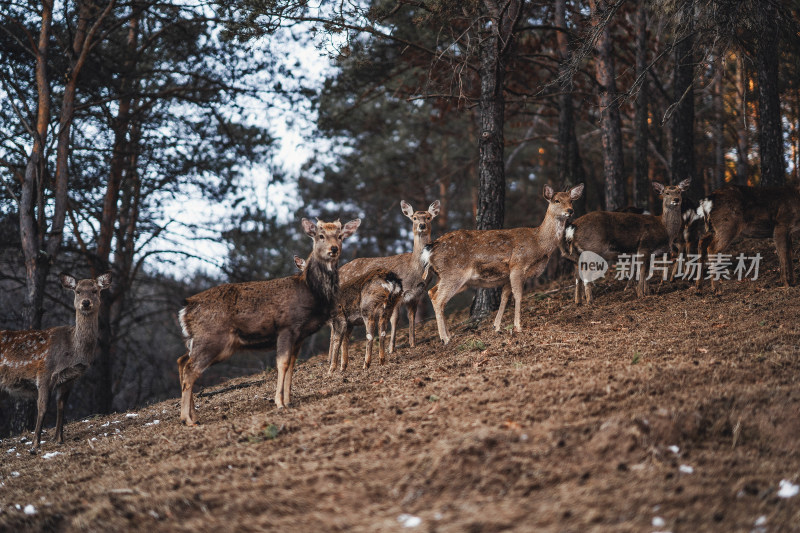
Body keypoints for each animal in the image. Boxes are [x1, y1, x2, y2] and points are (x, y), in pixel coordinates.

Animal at [0, 272, 112, 450]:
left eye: (95, 290)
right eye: (78, 291)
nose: (86, 302)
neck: (72, 351)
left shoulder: (69, 379)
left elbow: (61, 406)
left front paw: (59, 439)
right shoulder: (45, 372)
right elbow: (43, 406)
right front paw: (35, 443)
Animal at [178, 217, 362, 424]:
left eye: (340, 236)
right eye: (320, 235)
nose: (333, 249)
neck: (310, 290)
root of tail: (186, 309)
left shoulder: (300, 335)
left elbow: (292, 365)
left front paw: (289, 400)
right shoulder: (287, 327)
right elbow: (282, 363)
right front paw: (279, 402)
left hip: (204, 342)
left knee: (183, 362)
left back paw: (193, 416)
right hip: (212, 339)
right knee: (190, 369)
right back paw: (187, 419)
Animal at [336, 197, 440, 352]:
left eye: (428, 217)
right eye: (414, 218)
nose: (421, 225)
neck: (414, 270)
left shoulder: (417, 294)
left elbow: (412, 317)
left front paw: (413, 343)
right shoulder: (397, 294)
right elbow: (395, 319)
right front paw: (391, 348)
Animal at [422, 184, 584, 344]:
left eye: (571, 200)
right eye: (556, 200)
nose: (570, 210)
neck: (539, 244)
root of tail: (430, 249)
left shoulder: (507, 275)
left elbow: (505, 297)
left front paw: (497, 326)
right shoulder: (518, 265)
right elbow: (518, 295)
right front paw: (518, 326)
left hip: (449, 277)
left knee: (432, 292)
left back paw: (449, 335)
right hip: (454, 274)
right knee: (438, 299)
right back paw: (444, 338)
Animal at [564, 179, 692, 304]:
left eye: (679, 191)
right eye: (667, 193)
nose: (676, 199)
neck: (664, 228)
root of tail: (573, 227)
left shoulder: (652, 253)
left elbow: (648, 273)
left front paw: (648, 293)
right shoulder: (644, 246)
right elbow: (642, 272)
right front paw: (640, 295)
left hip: (578, 252)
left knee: (577, 274)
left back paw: (578, 301)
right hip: (592, 248)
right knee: (585, 274)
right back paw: (590, 301)